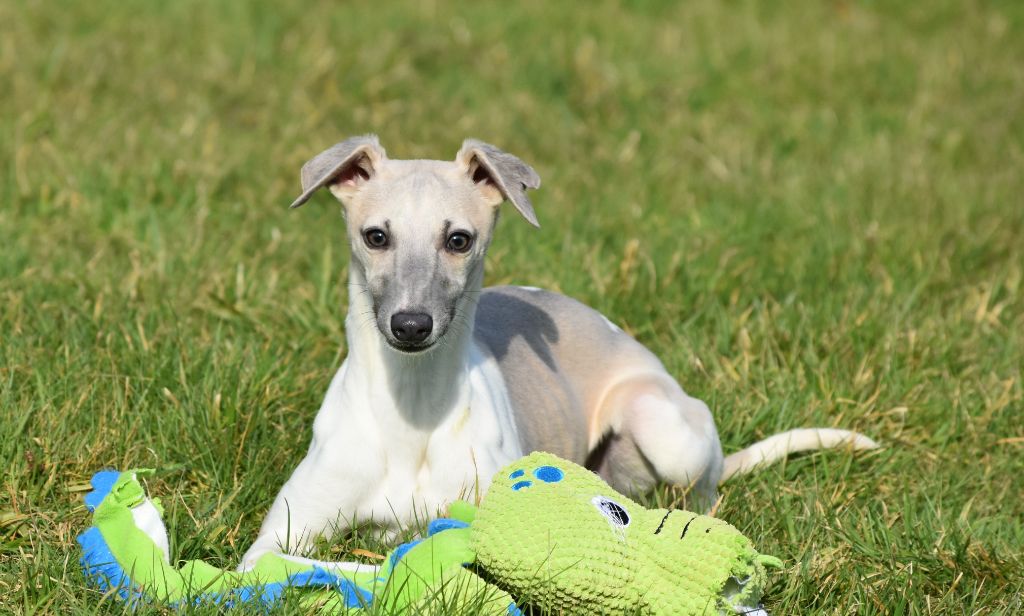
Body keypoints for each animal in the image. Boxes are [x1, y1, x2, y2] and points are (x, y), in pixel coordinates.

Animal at [237, 137, 872, 568]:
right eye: (375, 236)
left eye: (458, 239)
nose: (411, 326)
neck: (411, 413)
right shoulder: (280, 536)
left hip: (665, 428)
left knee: (704, 495)